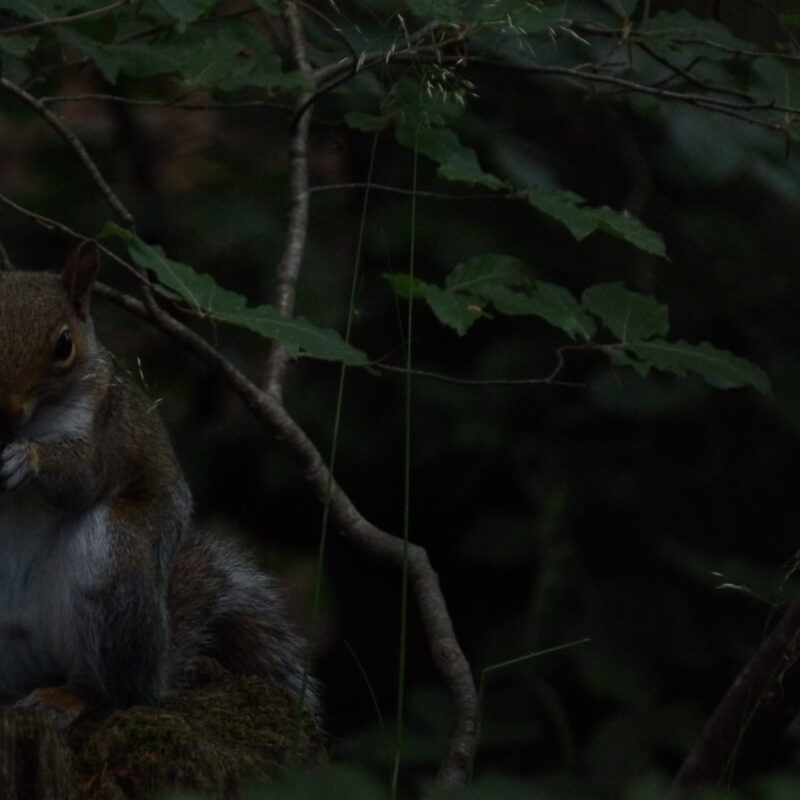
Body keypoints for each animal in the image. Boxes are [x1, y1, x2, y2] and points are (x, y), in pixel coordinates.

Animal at [0, 243, 318, 726]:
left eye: (63, 344)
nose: (8, 411)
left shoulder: (104, 427)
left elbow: (81, 477)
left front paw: (26, 458)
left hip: (116, 563)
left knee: (113, 689)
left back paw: (67, 697)